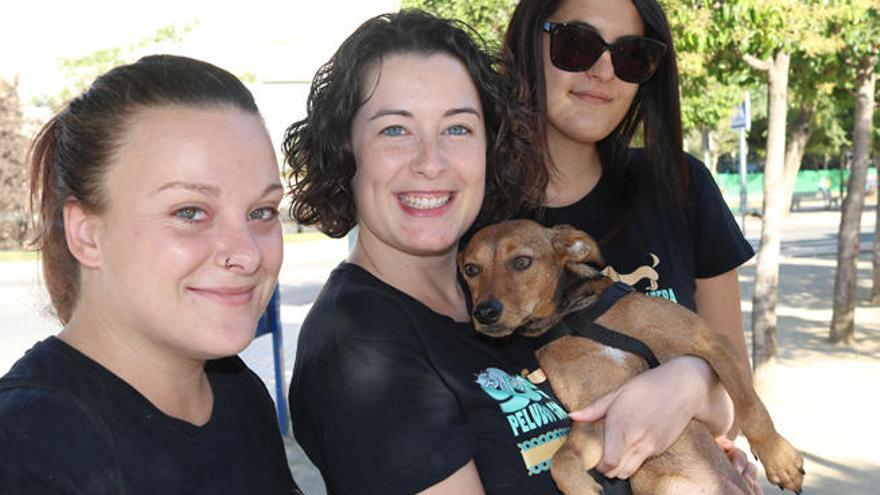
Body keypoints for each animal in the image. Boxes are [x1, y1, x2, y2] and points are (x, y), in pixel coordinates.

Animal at [460, 221, 804, 495]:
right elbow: (562, 461)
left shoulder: (711, 342)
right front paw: (584, 490)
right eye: (471, 269)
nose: (484, 313)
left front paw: (779, 459)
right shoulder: (597, 420)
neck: (573, 315)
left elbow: (750, 407)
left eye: (521, 261)